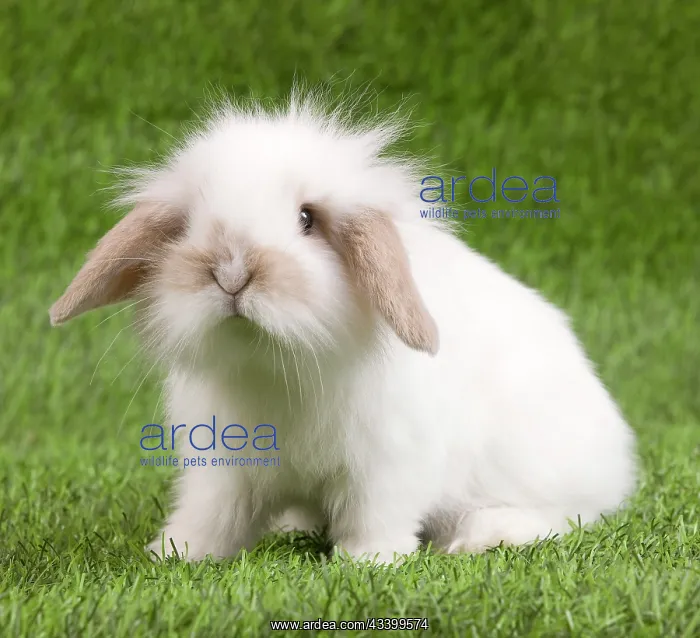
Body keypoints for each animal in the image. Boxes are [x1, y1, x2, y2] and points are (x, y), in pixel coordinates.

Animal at [49, 88, 637, 564]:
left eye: (308, 219)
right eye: (188, 225)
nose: (231, 272)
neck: (275, 366)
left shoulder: (389, 461)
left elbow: (377, 514)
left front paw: (369, 561)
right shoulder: (221, 465)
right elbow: (213, 514)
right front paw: (176, 553)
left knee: (563, 515)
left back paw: (487, 535)